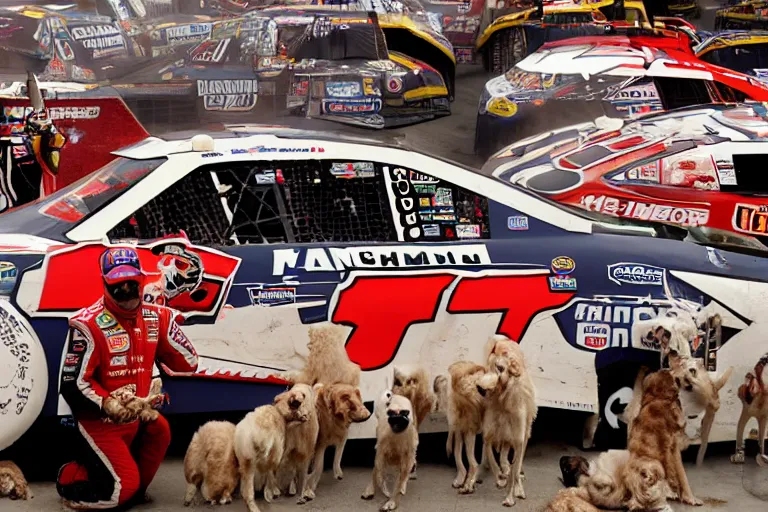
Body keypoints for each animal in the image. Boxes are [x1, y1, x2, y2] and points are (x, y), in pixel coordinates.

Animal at [476, 334, 536, 506]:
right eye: (487, 367)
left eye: (500, 368)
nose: (479, 388)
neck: (502, 400)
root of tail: (504, 339)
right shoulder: (489, 433)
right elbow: (491, 457)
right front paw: (500, 478)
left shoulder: (519, 440)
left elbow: (515, 471)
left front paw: (510, 496)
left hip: (523, 432)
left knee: (516, 462)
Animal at [628, 370, 700, 506]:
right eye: (669, 371)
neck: (657, 398)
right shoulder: (673, 448)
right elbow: (682, 475)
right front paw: (691, 498)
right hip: (652, 464)